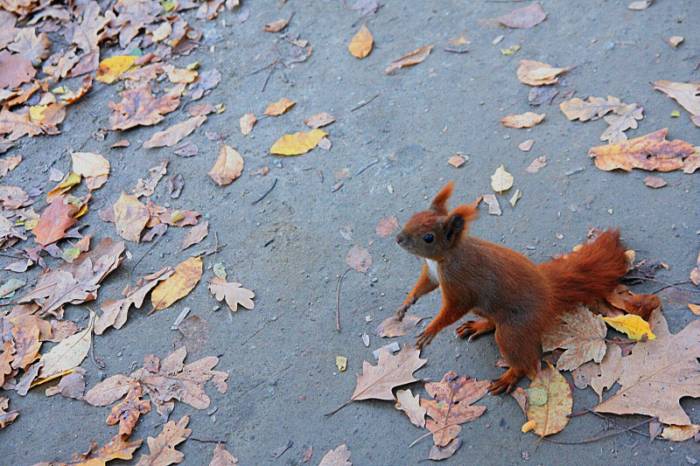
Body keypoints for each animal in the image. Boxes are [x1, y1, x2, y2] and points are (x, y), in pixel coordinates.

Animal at [394, 182, 628, 394]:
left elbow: (453, 309)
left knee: (524, 361)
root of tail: (549, 293)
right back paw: (478, 326)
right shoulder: (432, 273)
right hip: (486, 309)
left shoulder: (460, 284)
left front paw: (431, 330)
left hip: (513, 331)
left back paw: (509, 376)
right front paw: (406, 303)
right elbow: (425, 285)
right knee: (492, 322)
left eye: (429, 237)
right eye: (414, 216)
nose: (398, 239)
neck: (446, 256)